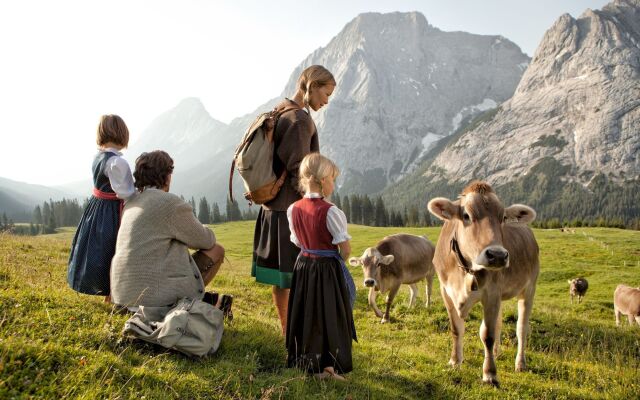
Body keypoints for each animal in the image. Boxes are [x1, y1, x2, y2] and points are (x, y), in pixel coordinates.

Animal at [430, 182, 540, 388]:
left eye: (503, 217)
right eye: (466, 215)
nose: (497, 255)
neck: (466, 270)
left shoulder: (492, 293)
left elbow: (487, 335)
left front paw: (490, 374)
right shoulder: (445, 291)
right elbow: (456, 329)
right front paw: (455, 361)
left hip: (529, 288)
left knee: (521, 328)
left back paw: (520, 363)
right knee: (499, 323)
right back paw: (496, 352)